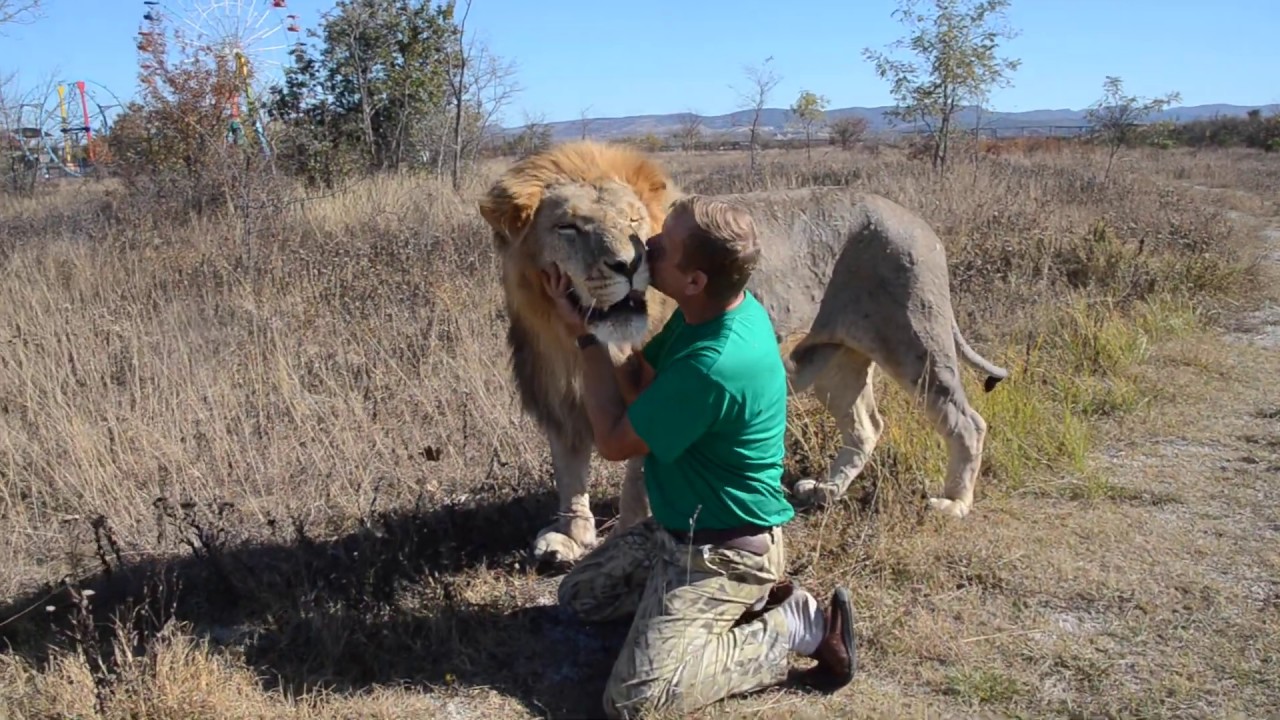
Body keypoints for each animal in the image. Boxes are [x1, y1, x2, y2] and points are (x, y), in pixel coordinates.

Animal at [476, 141, 1003, 566]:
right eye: (567, 227)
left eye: (632, 221)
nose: (629, 264)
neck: (568, 341)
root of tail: (915, 218)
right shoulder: (555, 396)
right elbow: (569, 472)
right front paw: (569, 535)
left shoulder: (655, 398)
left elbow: (637, 484)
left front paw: (625, 538)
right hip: (836, 359)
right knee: (867, 426)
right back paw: (826, 492)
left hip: (916, 341)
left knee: (968, 421)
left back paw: (954, 503)